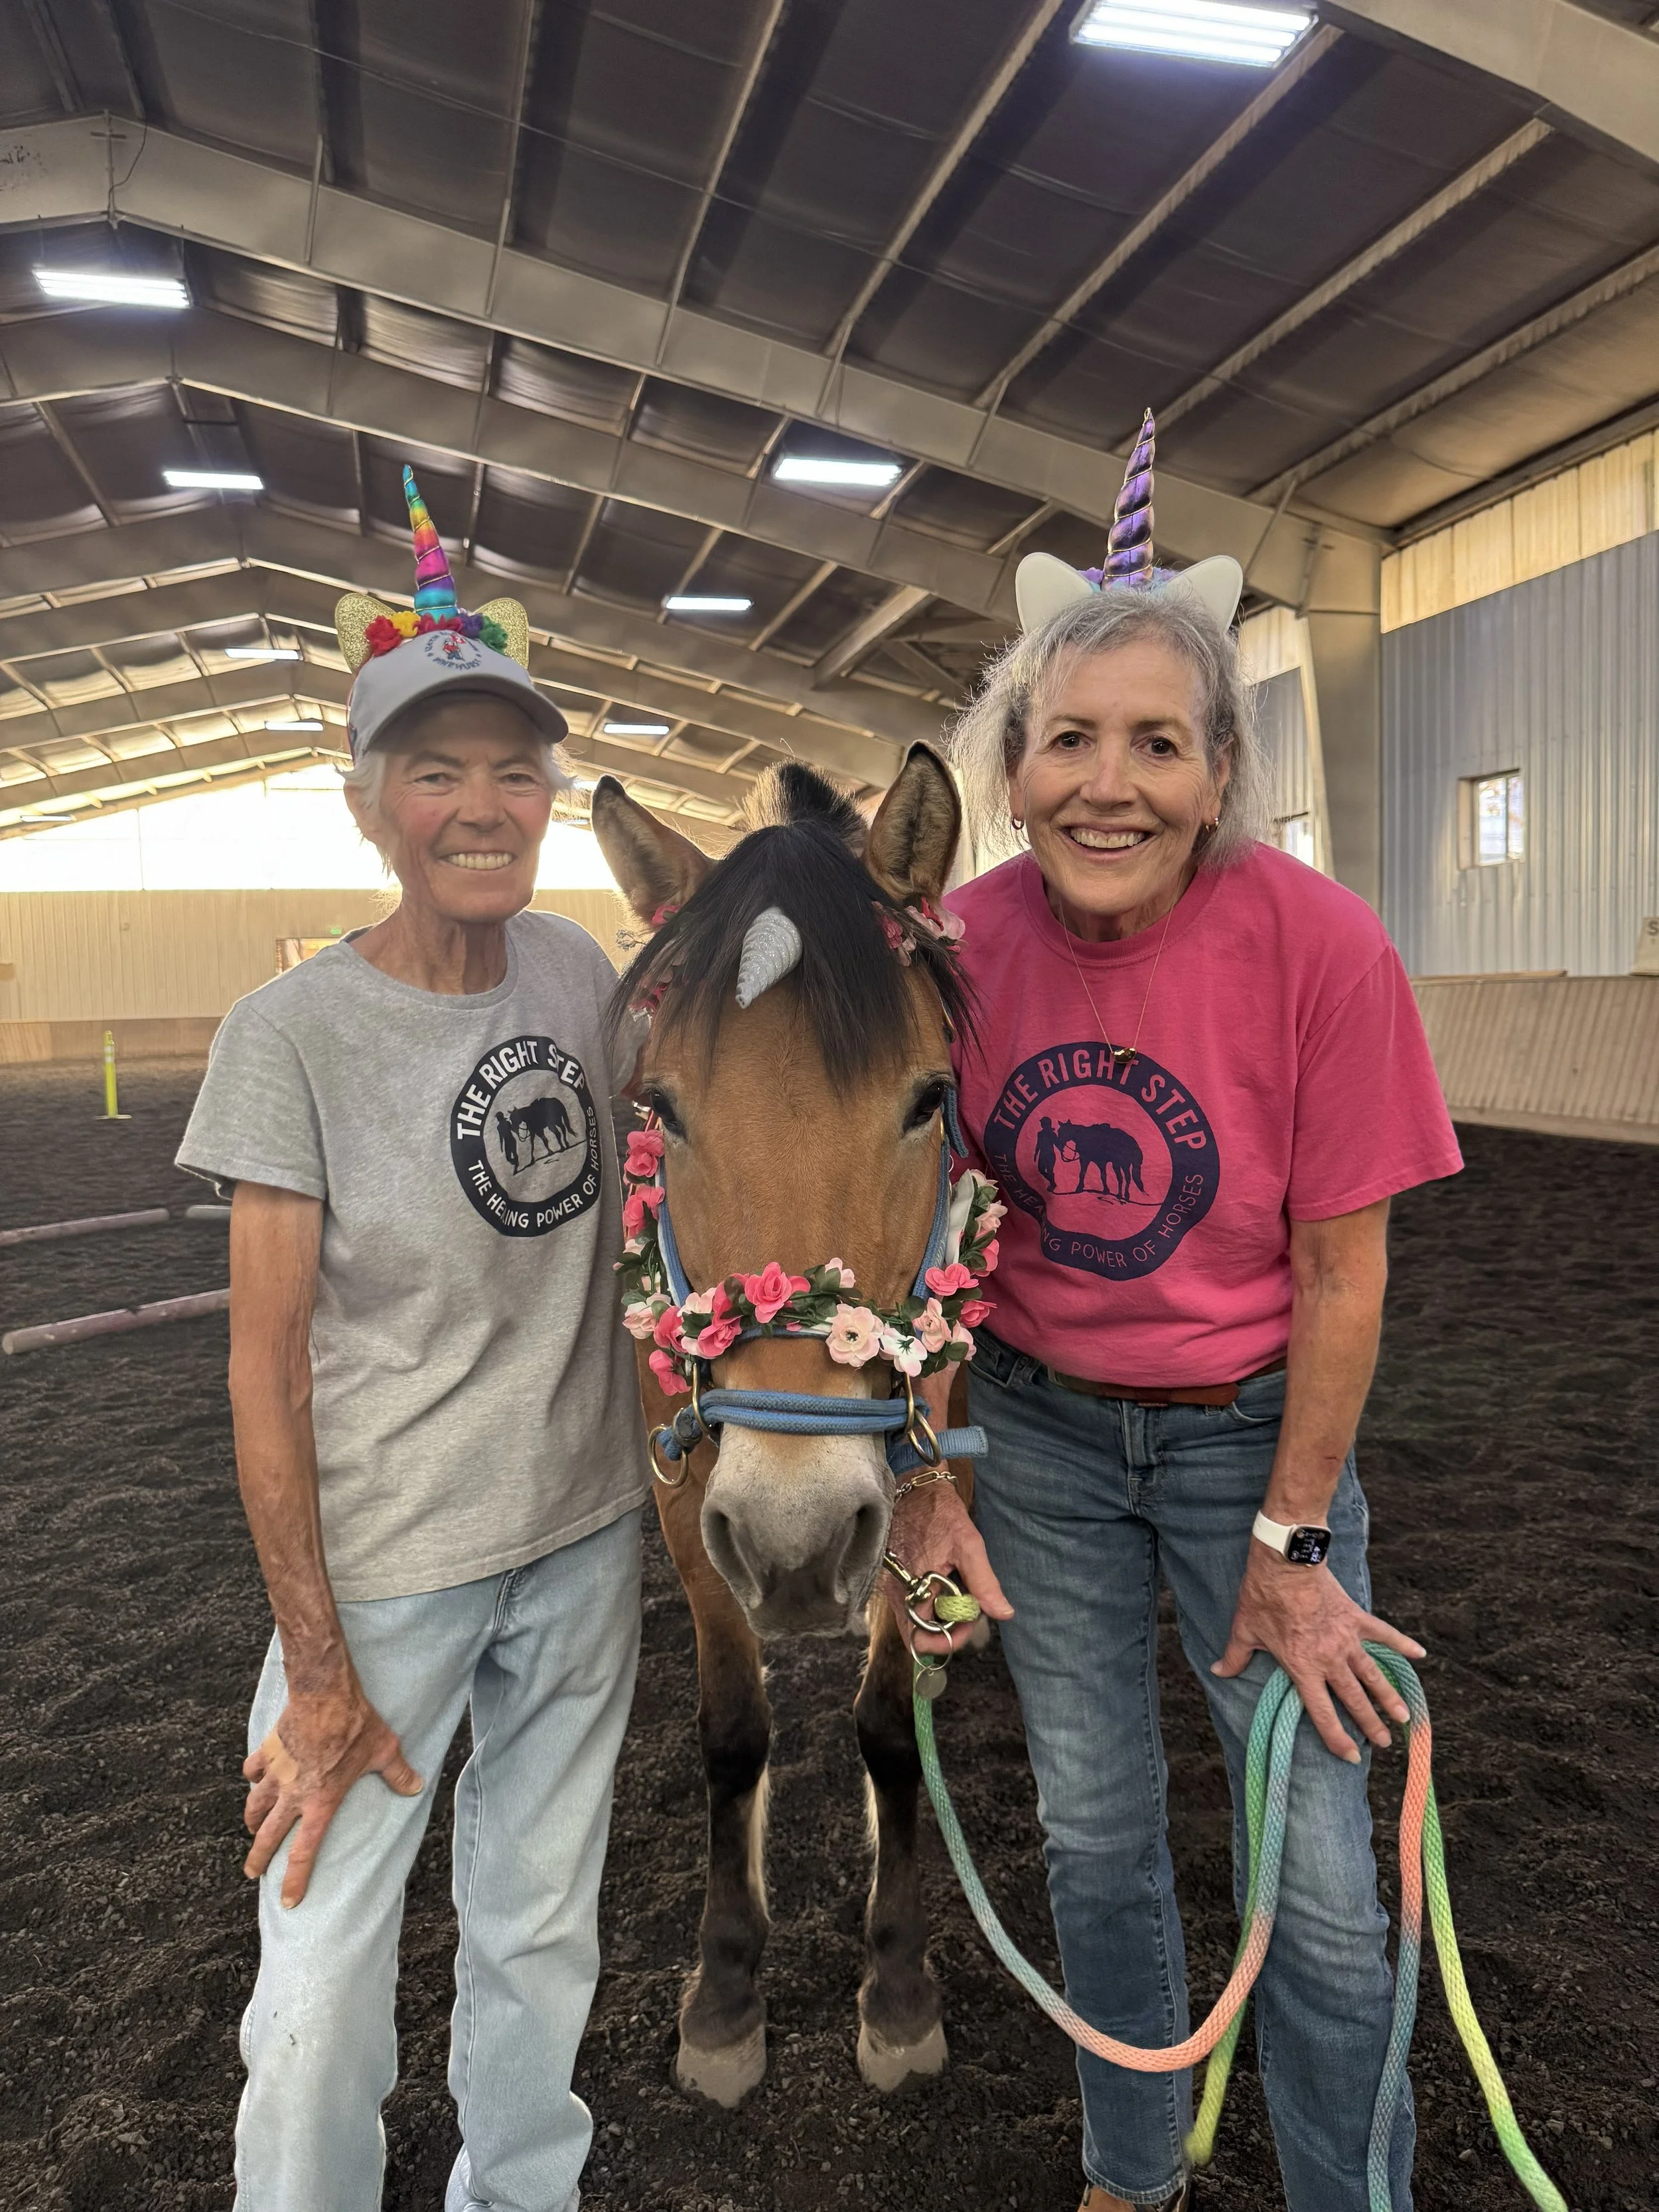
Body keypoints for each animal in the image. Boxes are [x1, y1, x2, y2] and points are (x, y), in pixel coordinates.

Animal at [591, 747, 975, 2110]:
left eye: (928, 1099)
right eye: (659, 1107)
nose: (796, 1540)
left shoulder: (916, 1484)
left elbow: (891, 1721)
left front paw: (899, 1987)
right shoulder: (688, 1496)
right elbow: (732, 1732)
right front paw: (725, 1990)